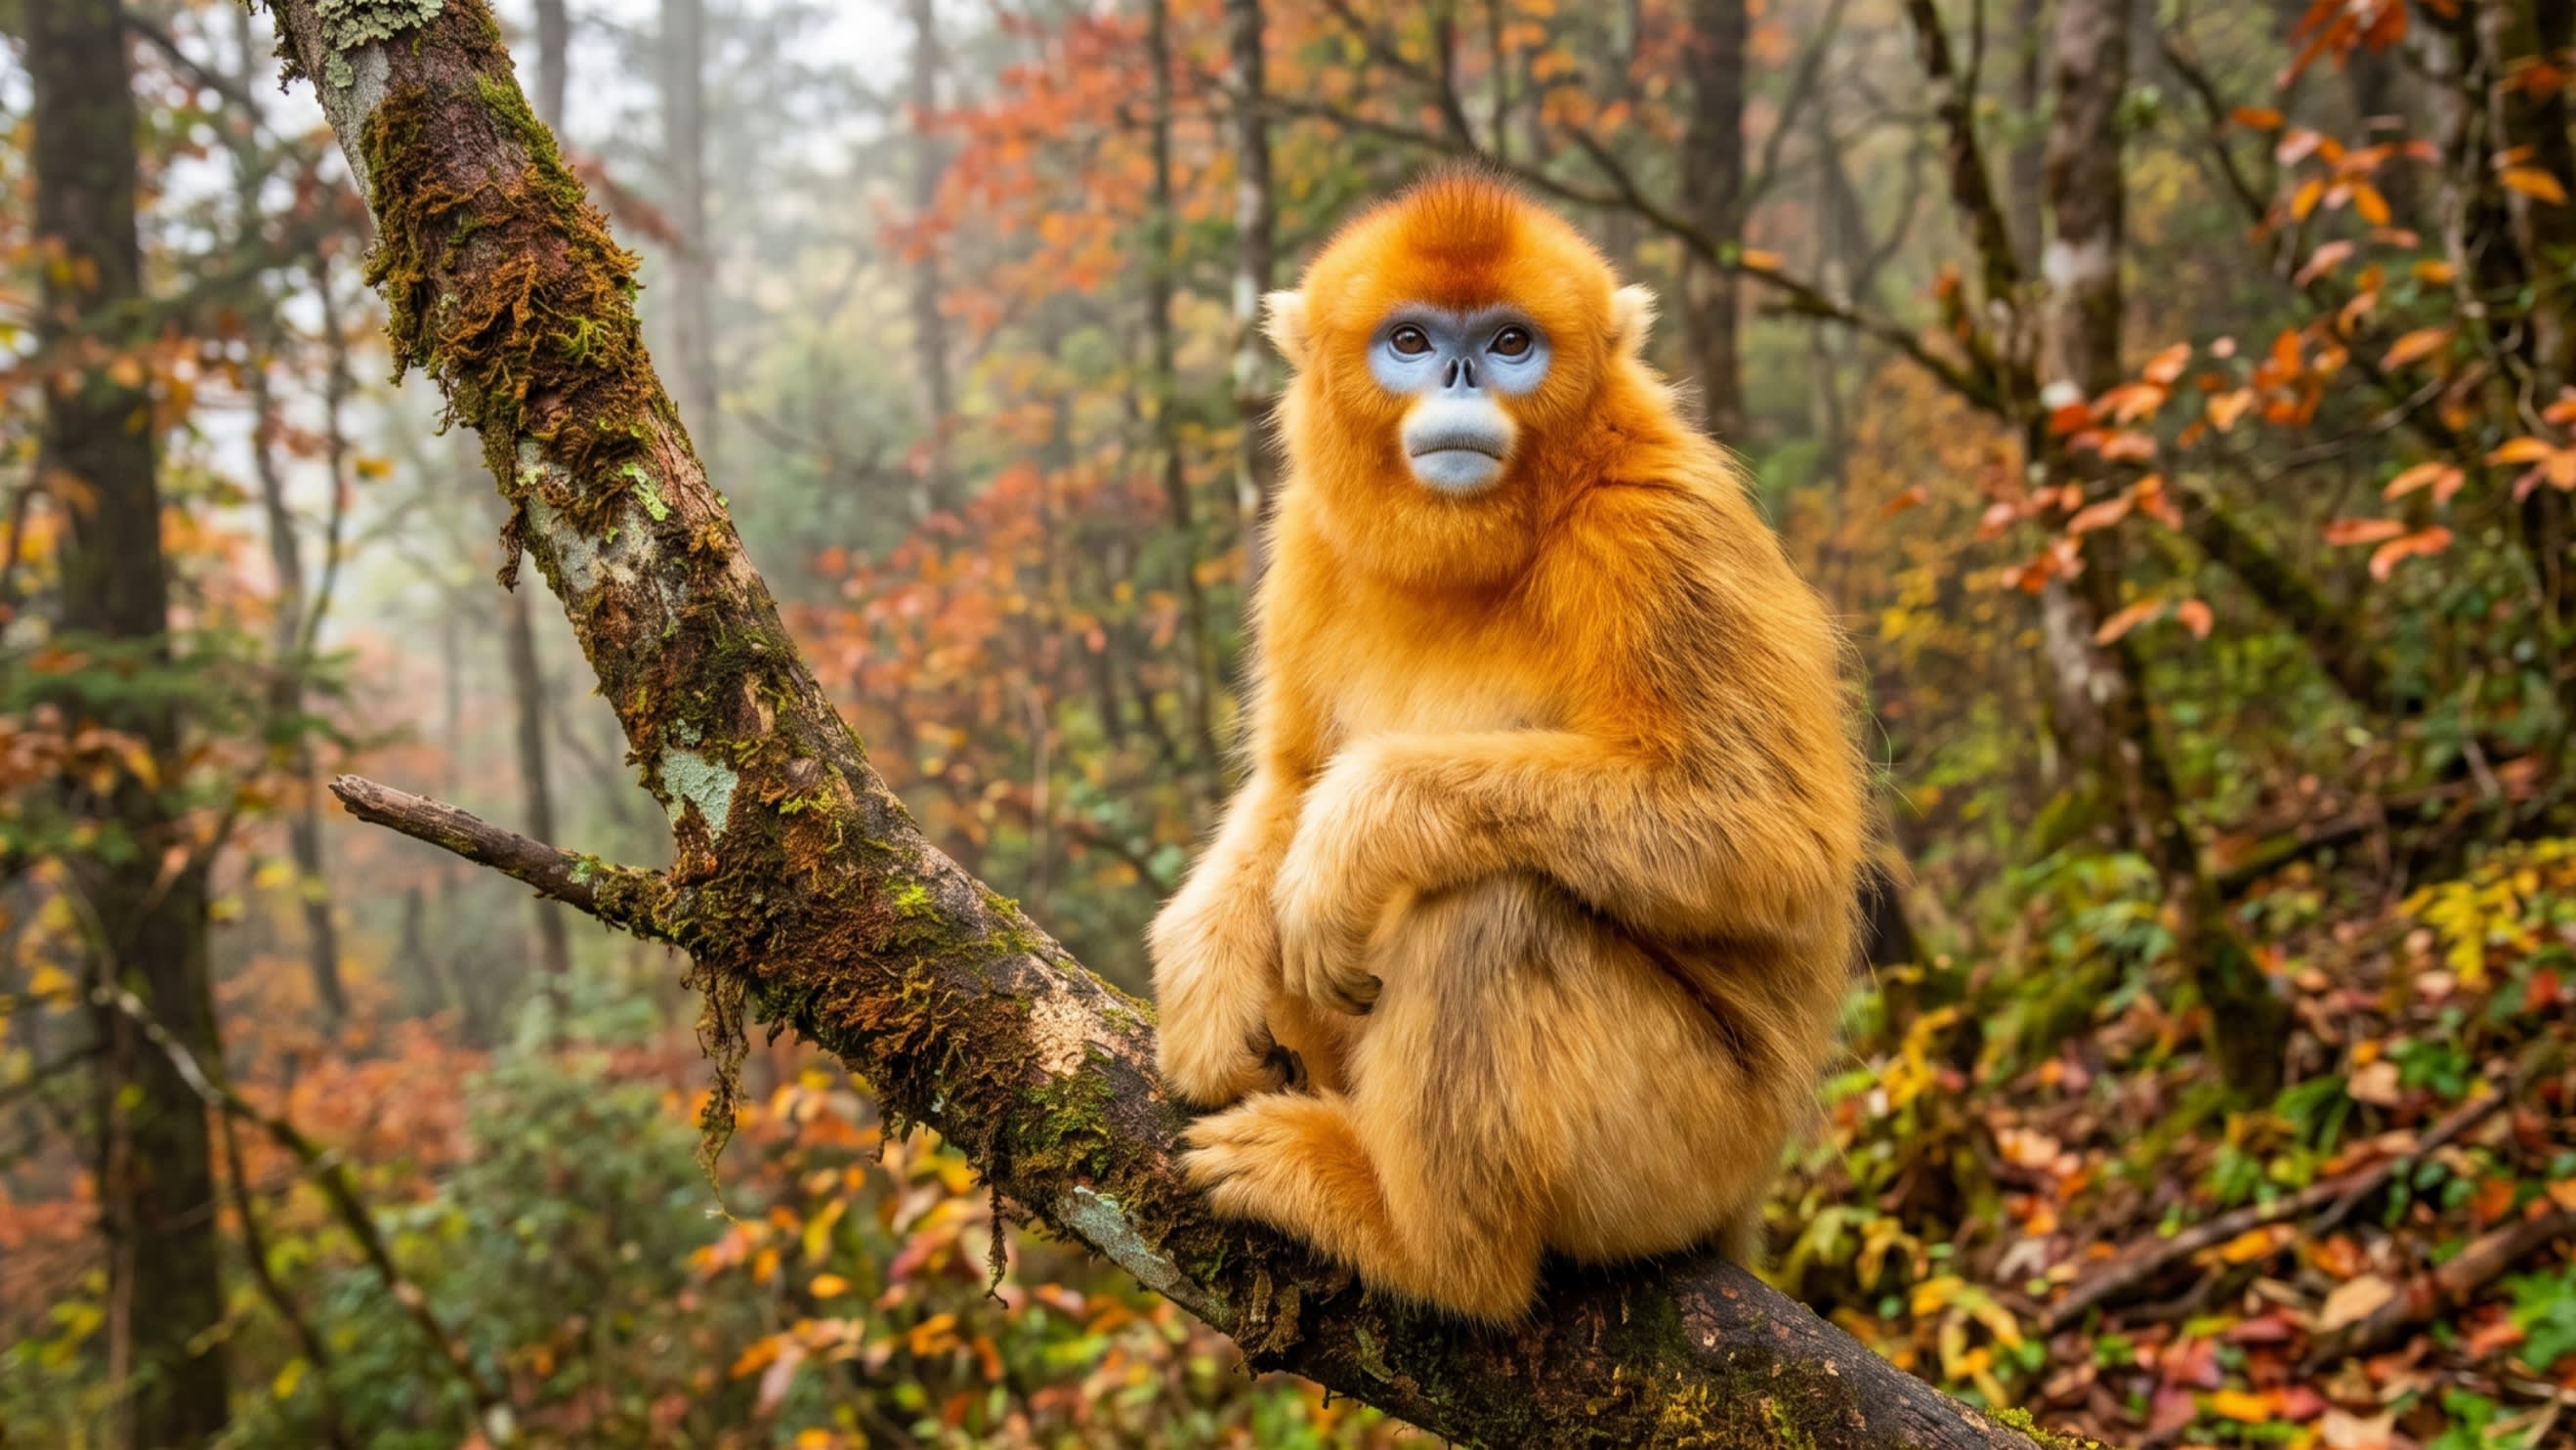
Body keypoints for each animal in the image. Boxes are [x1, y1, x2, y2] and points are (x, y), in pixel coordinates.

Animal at [1147, 169, 1866, 1322]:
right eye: (1409, 339)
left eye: (1510, 342)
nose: (1460, 374)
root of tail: (1743, 1192)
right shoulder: (1307, 534)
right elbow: (1289, 775)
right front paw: (1204, 968)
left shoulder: (1657, 525)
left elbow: (1774, 840)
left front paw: (1361, 826)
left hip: (1687, 1146)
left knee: (1489, 908)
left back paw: (1418, 1245)